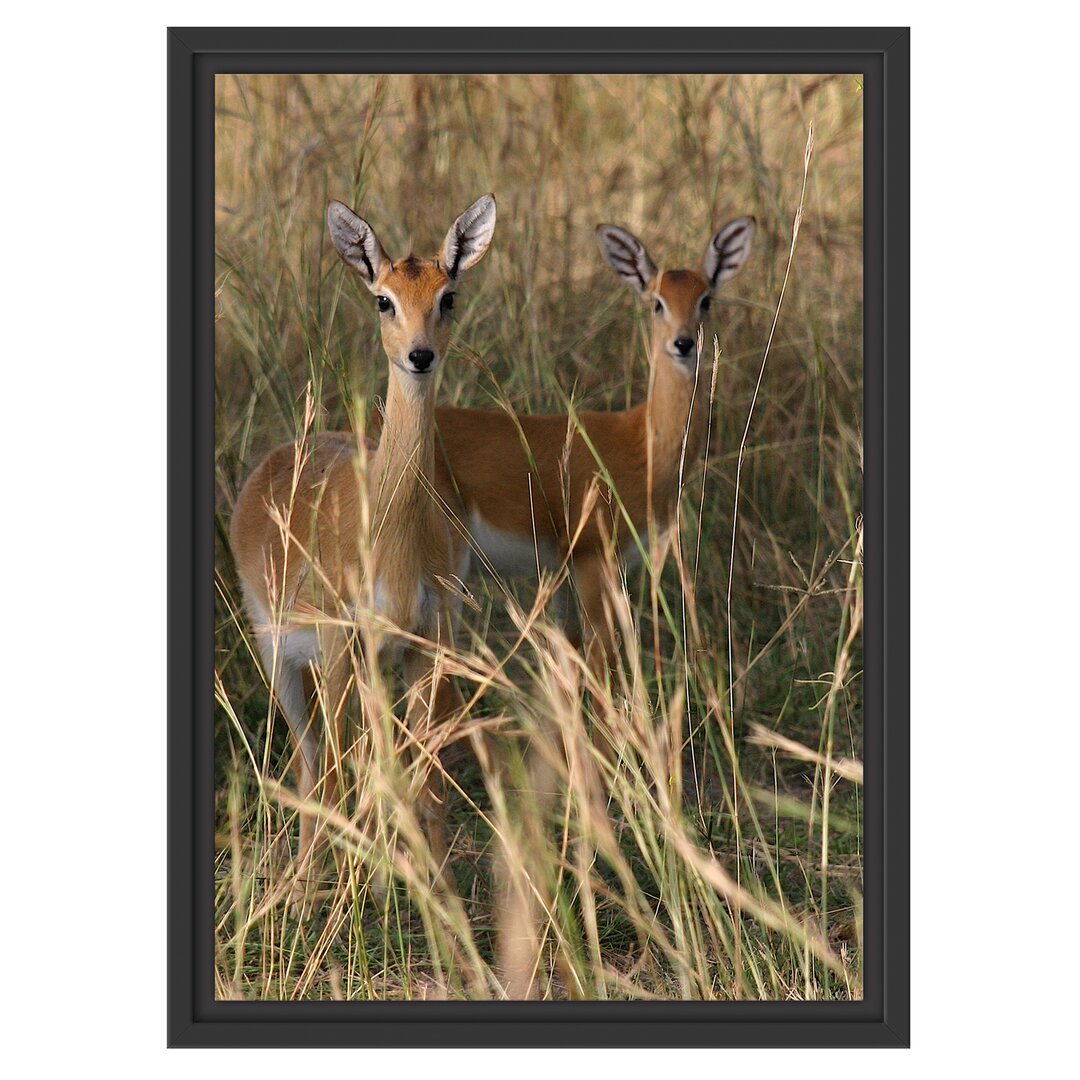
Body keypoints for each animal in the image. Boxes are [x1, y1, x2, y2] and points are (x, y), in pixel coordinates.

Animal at [232, 192, 496, 894]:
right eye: (384, 298)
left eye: (448, 294)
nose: (420, 356)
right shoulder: (345, 643)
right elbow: (347, 767)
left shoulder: (427, 641)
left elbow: (426, 779)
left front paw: (439, 888)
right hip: (289, 659)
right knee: (313, 761)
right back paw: (304, 881)